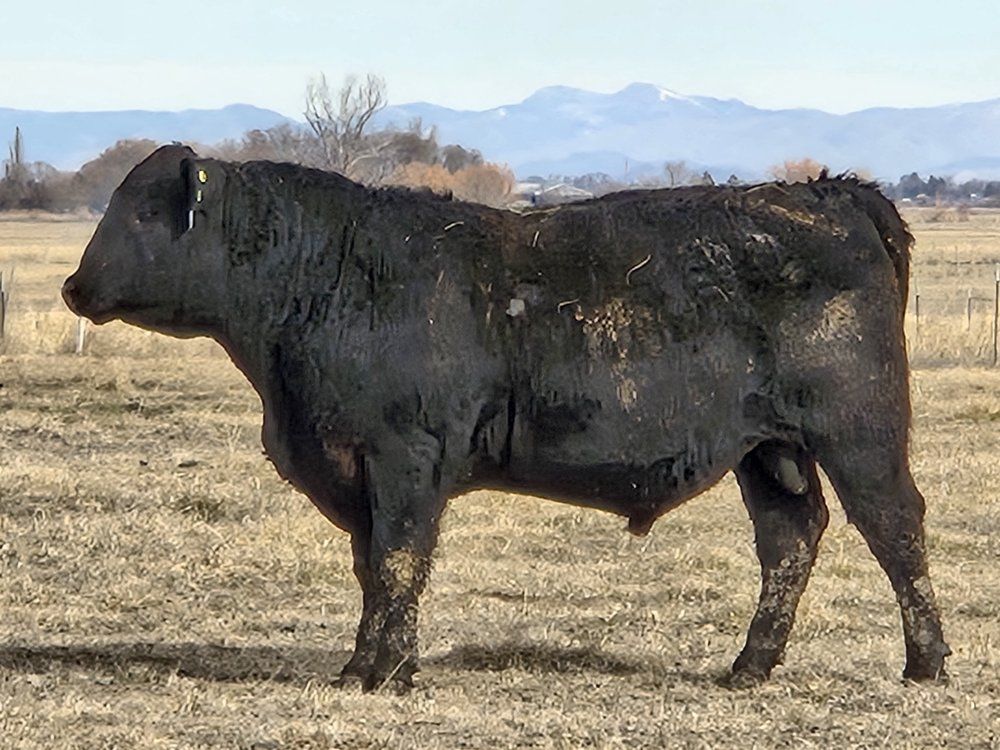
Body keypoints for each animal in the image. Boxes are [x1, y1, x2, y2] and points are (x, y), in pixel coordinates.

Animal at [62, 145, 949, 692]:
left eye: (140, 214)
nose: (73, 286)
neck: (328, 278)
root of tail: (829, 191)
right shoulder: (357, 471)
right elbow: (374, 567)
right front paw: (374, 666)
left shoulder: (404, 457)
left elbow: (398, 562)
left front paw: (379, 674)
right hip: (767, 451)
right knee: (790, 538)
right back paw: (749, 666)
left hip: (860, 435)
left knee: (896, 528)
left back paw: (926, 663)